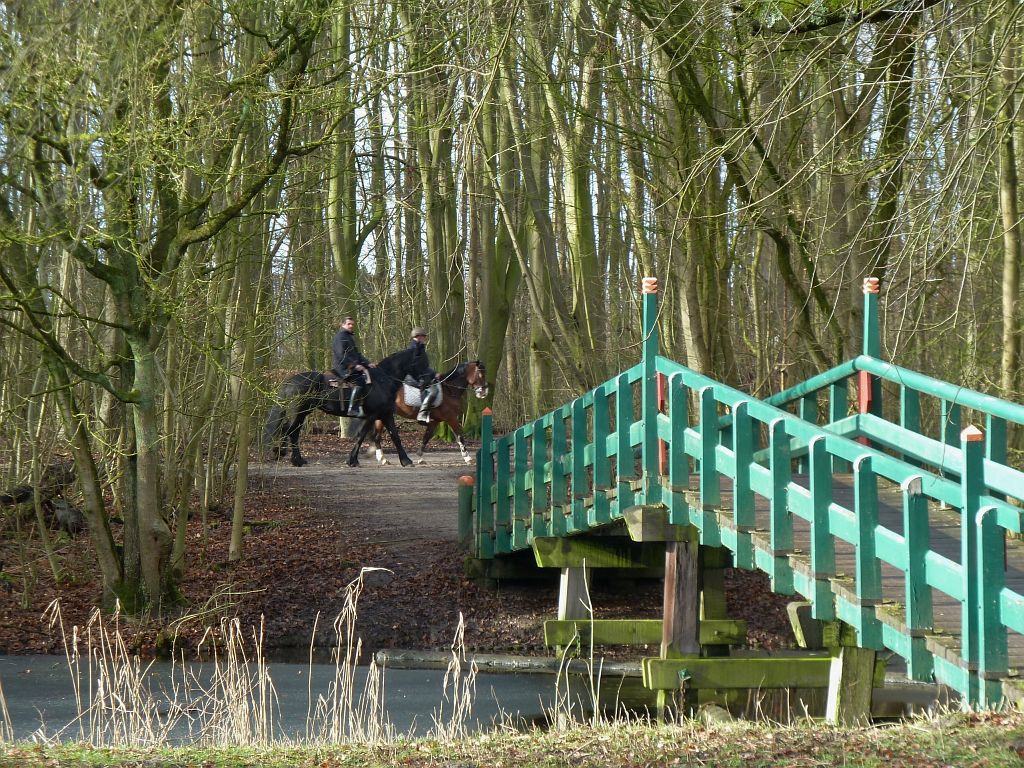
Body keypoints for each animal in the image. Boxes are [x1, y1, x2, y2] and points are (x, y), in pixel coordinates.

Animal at [264, 348, 428, 468]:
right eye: (421, 360)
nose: (430, 377)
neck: (382, 380)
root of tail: (290, 380)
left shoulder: (385, 414)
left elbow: (394, 436)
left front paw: (405, 460)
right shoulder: (373, 415)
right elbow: (362, 436)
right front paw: (353, 460)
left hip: (303, 413)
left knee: (290, 430)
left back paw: (287, 456)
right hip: (299, 412)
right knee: (290, 431)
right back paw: (291, 458)